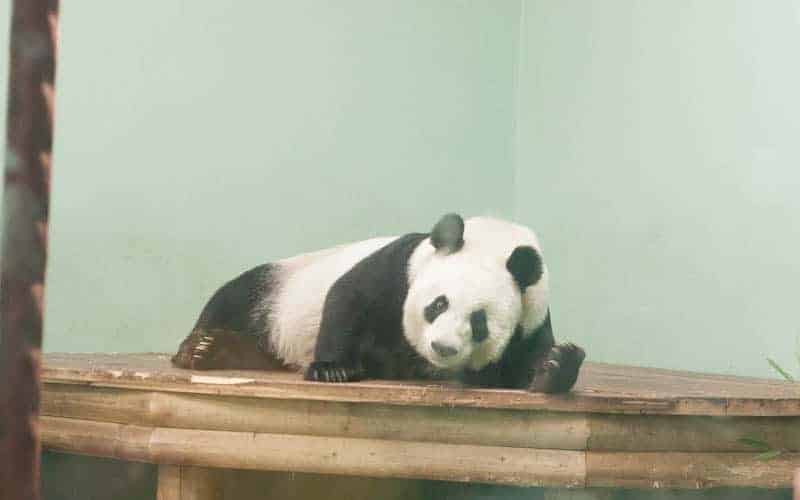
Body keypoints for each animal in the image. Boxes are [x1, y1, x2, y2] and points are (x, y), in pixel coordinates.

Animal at [172, 213, 585, 393]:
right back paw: (203, 349)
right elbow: (348, 298)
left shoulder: (531, 316)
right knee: (231, 300)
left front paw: (557, 364)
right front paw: (333, 369)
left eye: (479, 322)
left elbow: (526, 365)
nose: (442, 348)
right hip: (276, 290)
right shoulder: (400, 268)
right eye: (437, 305)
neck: (500, 241)